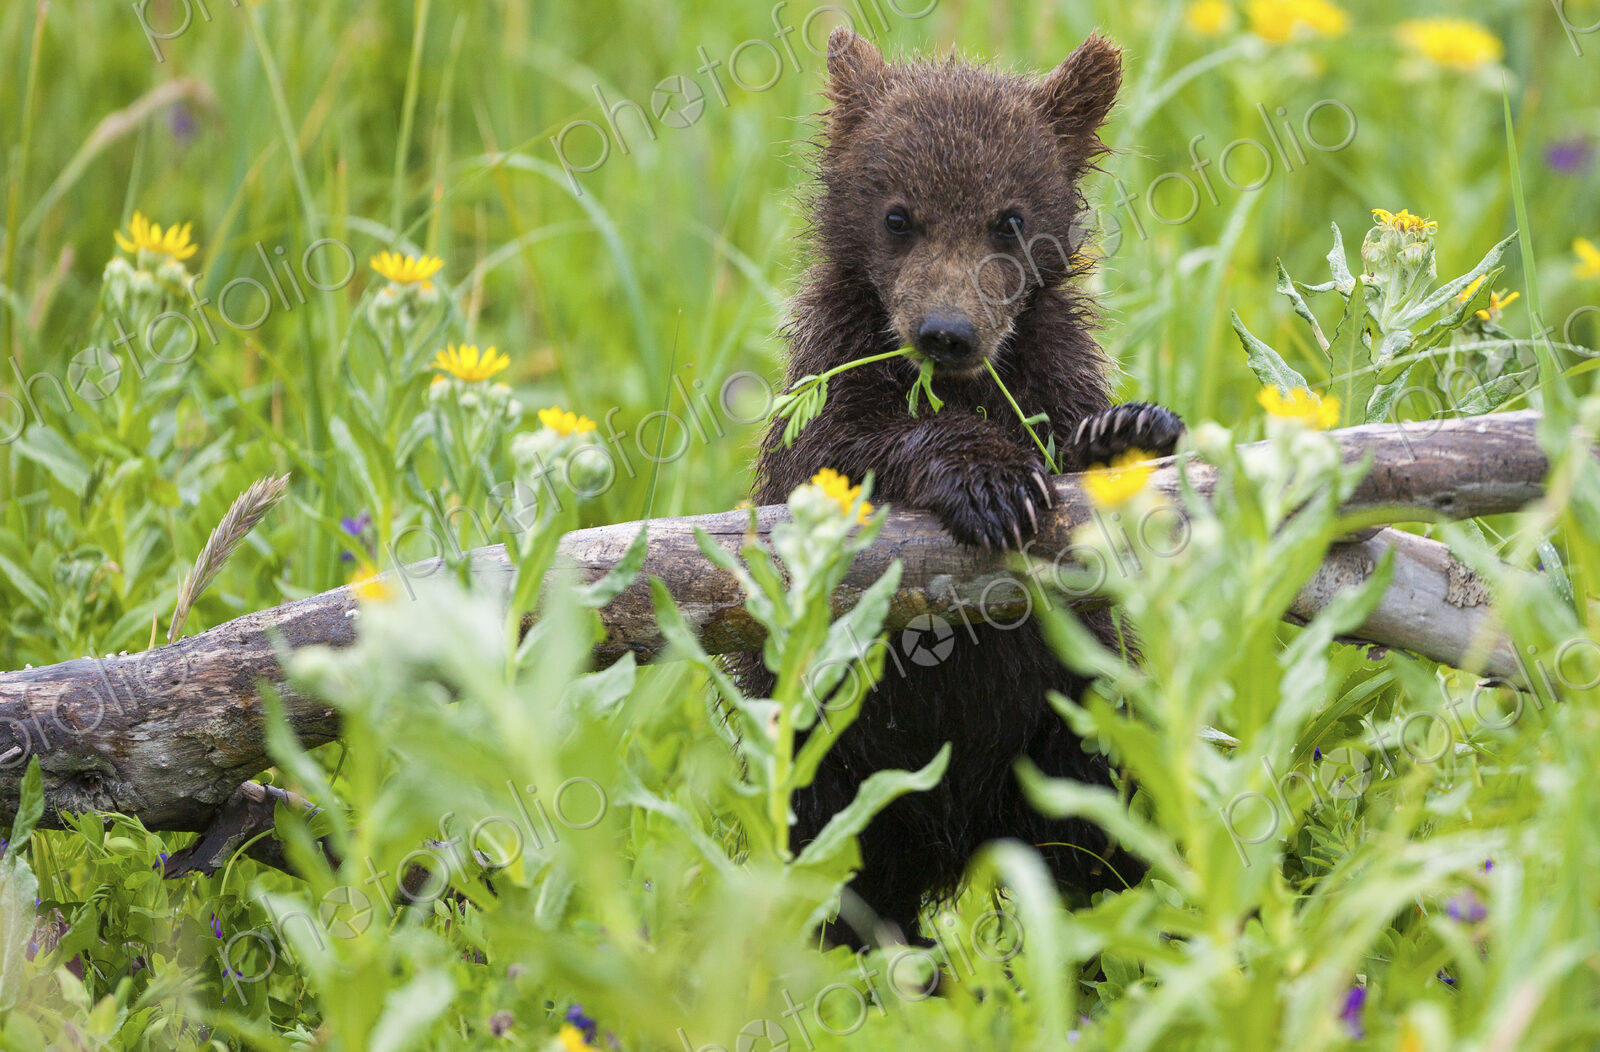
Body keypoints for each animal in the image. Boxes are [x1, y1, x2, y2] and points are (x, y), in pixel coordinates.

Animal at [735, 27, 1184, 948]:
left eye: (1008, 219)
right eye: (898, 215)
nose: (947, 332)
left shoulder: (1049, 361)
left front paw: (1127, 430)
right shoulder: (829, 374)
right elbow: (839, 451)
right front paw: (992, 482)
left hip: (1068, 729)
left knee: (1098, 847)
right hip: (831, 753)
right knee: (825, 873)